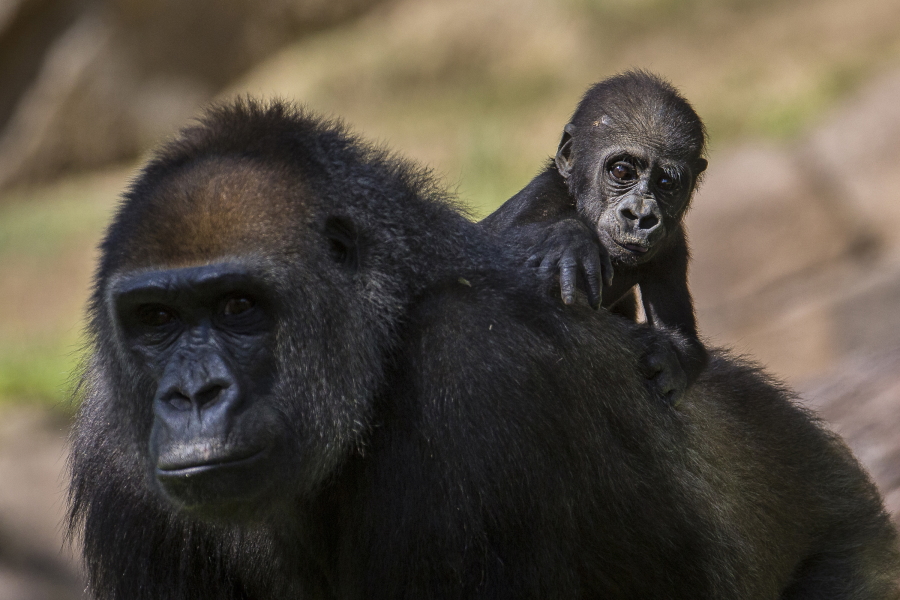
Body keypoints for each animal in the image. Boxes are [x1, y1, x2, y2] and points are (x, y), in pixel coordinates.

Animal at [481, 71, 709, 404]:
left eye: (666, 182)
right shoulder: (543, 194)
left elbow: (683, 341)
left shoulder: (672, 245)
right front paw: (568, 240)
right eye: (622, 171)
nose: (640, 214)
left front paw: (671, 358)